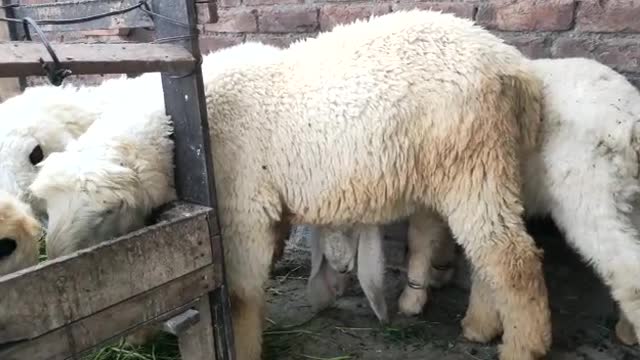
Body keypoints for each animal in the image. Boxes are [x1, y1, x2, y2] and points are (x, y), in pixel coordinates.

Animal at [204, 9, 552, 360]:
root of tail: (510, 63)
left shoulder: (243, 203)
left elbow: (239, 298)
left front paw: (242, 346)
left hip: (473, 158)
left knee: (511, 257)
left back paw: (523, 346)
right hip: (479, 165)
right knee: (486, 255)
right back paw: (480, 325)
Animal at [398, 57, 640, 348]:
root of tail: (629, 123)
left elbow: (420, 241)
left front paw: (412, 300)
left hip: (589, 195)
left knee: (626, 268)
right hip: (628, 200)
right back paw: (627, 331)